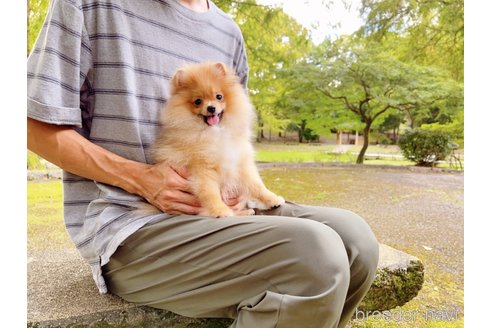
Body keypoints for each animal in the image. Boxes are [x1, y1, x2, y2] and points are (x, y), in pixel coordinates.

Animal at [153, 62, 284, 218]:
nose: (211, 108)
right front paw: (220, 211)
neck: (217, 132)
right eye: (198, 101)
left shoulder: (240, 163)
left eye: (219, 96)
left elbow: (257, 185)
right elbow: (210, 193)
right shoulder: (202, 169)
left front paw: (272, 199)